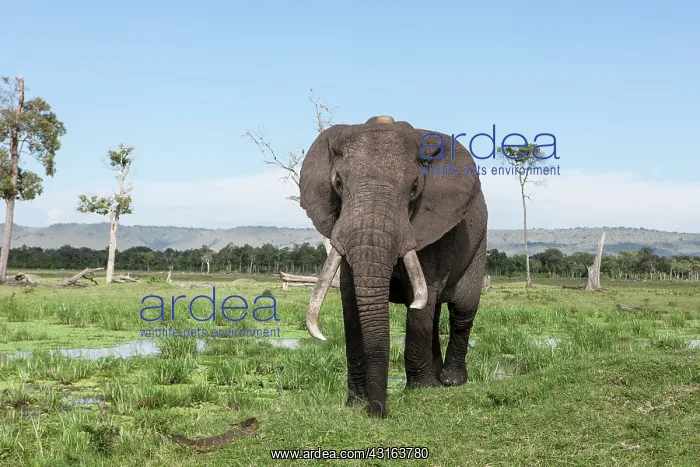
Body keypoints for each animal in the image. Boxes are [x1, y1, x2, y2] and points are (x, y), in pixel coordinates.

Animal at [299, 115, 488, 418]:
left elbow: (422, 298)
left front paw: (420, 391)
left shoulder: (431, 227)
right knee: (435, 311)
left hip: (479, 243)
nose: (378, 412)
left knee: (461, 309)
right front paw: (356, 401)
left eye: (414, 188)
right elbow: (351, 300)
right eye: (337, 183)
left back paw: (450, 381)